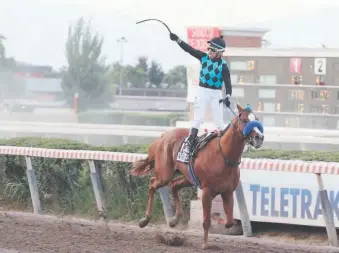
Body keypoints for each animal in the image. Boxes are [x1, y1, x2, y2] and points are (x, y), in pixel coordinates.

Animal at [130, 103, 266, 249]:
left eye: (257, 119)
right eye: (245, 120)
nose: (259, 138)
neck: (224, 156)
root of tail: (164, 135)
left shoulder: (228, 192)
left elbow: (230, 221)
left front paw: (220, 221)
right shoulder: (207, 192)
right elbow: (206, 221)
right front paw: (205, 244)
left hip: (189, 178)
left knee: (174, 185)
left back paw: (174, 220)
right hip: (165, 174)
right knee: (152, 183)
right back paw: (145, 219)